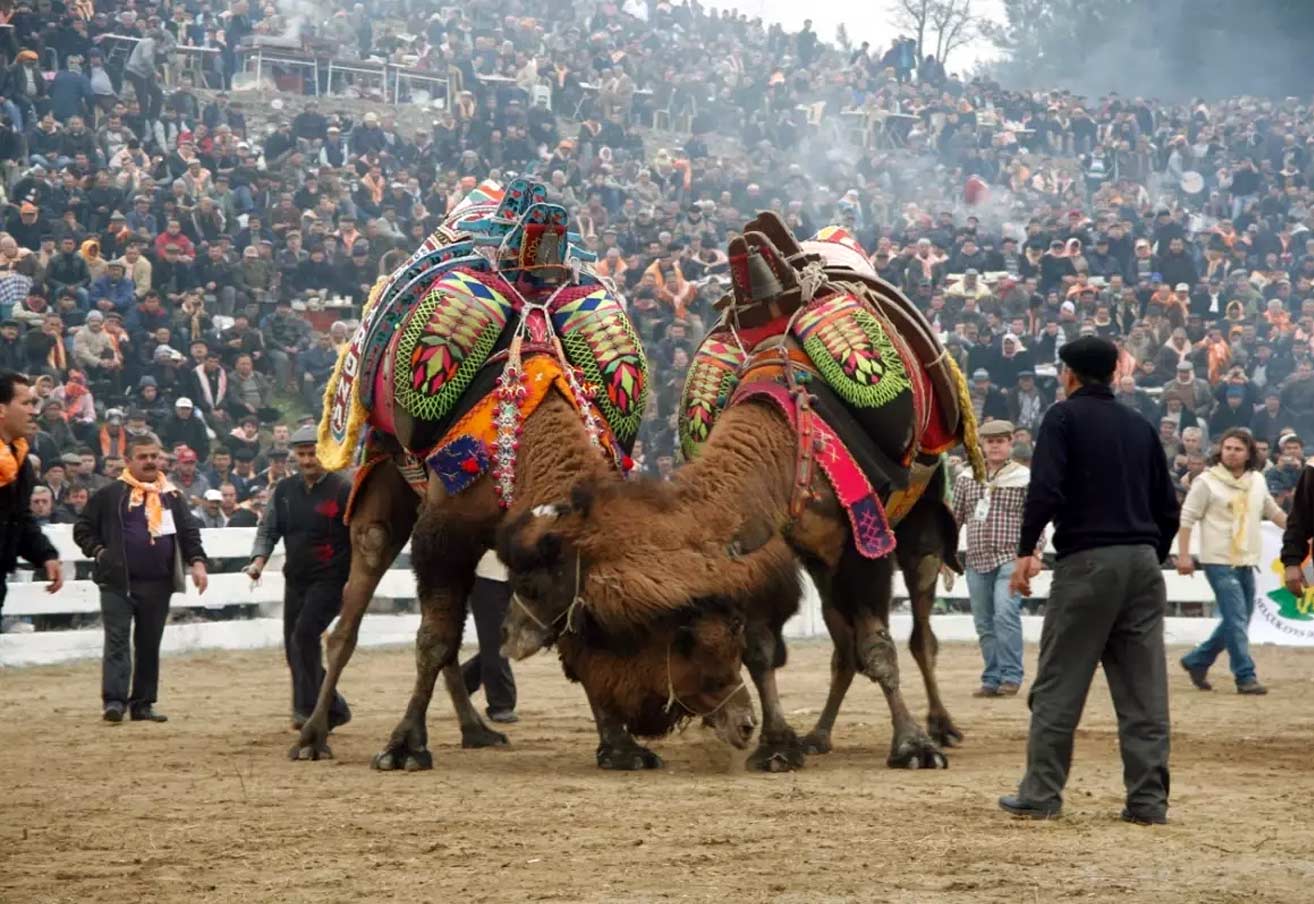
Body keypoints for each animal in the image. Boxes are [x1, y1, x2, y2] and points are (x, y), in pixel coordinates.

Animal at [494, 214, 977, 767]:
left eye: (538, 582)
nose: (508, 633)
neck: (781, 455)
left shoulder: (862, 545)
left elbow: (878, 648)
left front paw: (912, 745)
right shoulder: (769, 555)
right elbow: (763, 651)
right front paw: (778, 745)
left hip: (919, 514)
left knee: (920, 627)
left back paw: (941, 725)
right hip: (822, 563)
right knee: (842, 646)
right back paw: (820, 735)